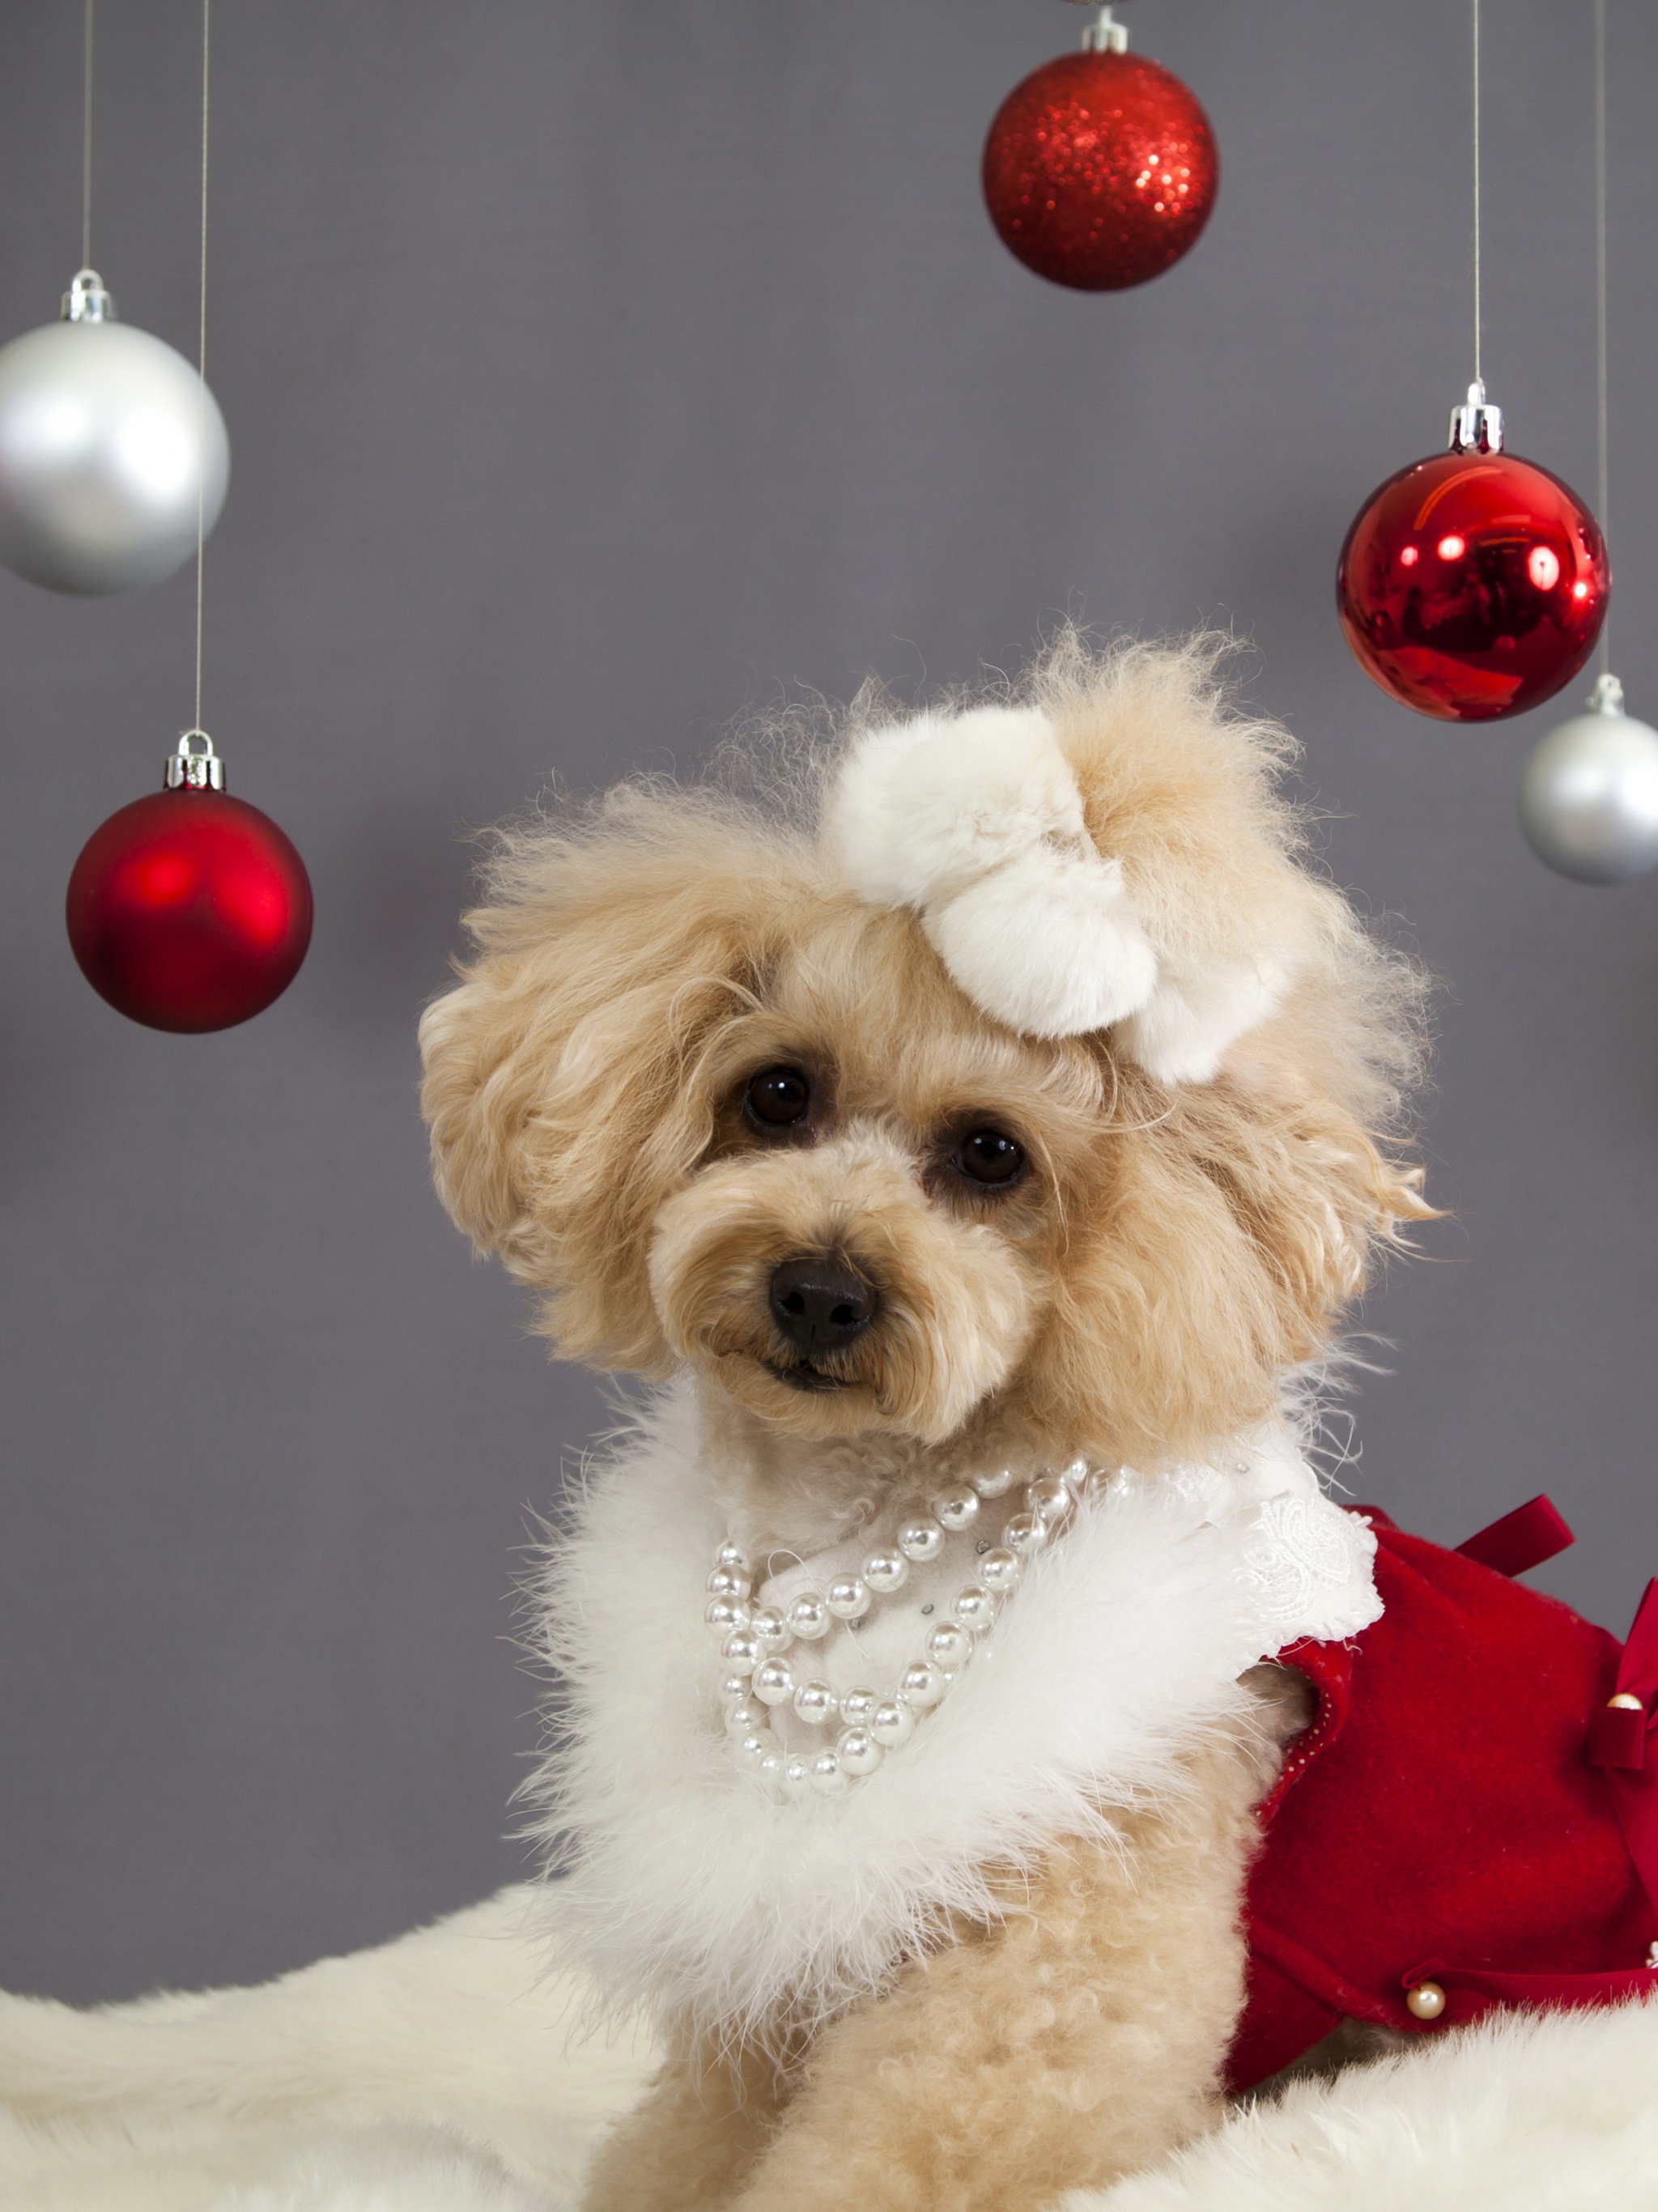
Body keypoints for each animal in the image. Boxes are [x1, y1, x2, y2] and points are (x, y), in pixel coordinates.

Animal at [418, 632, 1441, 2203]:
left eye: (990, 1155)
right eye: (777, 1093)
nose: (820, 1289)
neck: (860, 1538)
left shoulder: (1050, 1954)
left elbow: (917, 2139)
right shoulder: (784, 1954)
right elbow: (693, 2135)